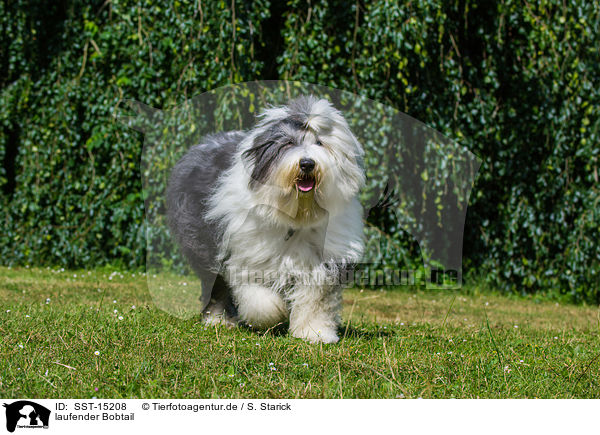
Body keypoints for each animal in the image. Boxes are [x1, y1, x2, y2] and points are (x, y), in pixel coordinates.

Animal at [169, 96, 366, 344]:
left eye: (320, 143)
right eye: (289, 143)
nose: (307, 164)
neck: (296, 218)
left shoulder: (321, 264)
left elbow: (316, 301)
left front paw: (315, 333)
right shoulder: (247, 255)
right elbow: (260, 298)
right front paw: (275, 313)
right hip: (203, 243)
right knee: (215, 286)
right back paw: (218, 320)